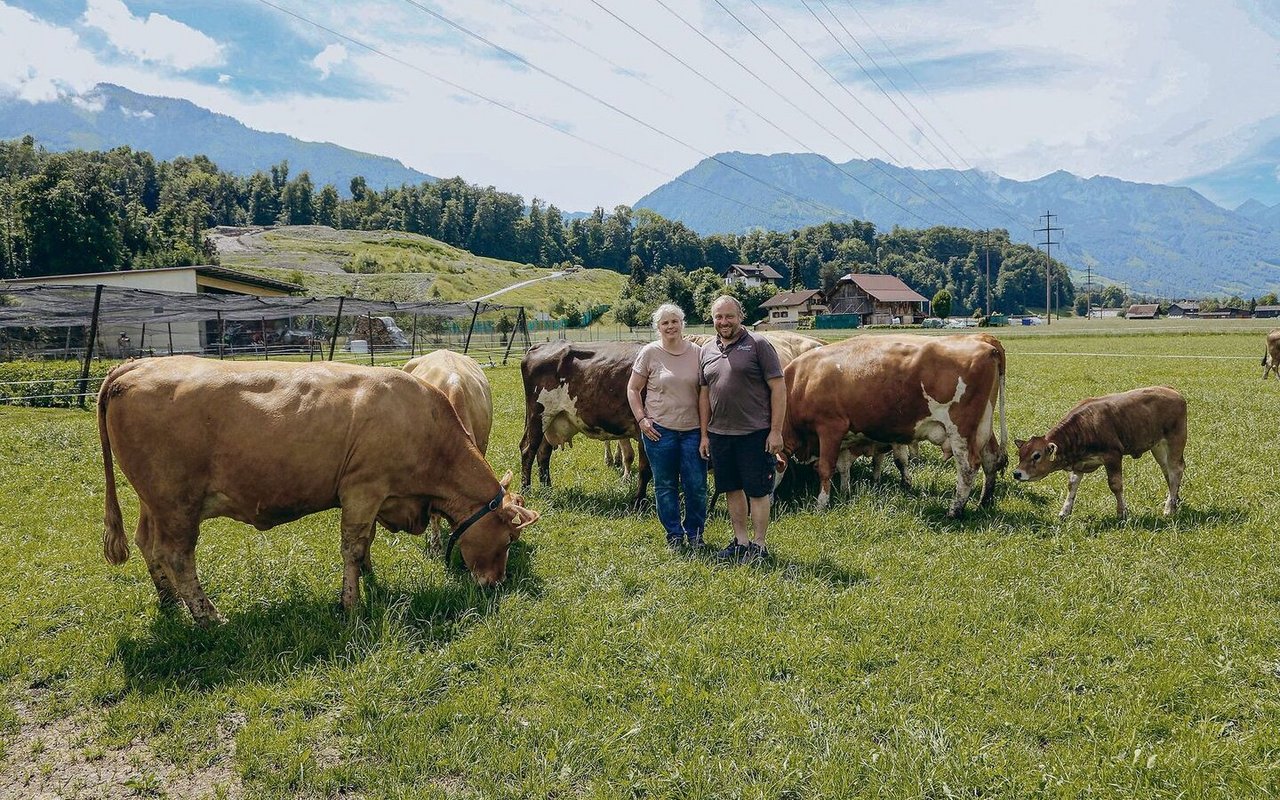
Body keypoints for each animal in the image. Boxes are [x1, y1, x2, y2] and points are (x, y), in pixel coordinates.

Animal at [98, 355, 535, 624]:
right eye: (508, 540)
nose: (495, 584)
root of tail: (134, 366)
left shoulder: (375, 496)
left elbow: (366, 541)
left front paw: (370, 577)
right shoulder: (362, 489)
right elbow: (353, 546)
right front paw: (351, 603)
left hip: (153, 501)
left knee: (147, 543)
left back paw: (170, 600)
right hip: (177, 504)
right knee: (177, 556)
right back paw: (209, 617)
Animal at [517, 340, 650, 501]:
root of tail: (540, 346)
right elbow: (645, 469)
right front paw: (639, 501)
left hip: (550, 420)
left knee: (543, 452)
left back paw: (547, 490)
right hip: (538, 415)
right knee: (528, 449)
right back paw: (526, 491)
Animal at [778, 332, 1008, 514]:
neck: (803, 380)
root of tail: (985, 341)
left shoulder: (830, 428)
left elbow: (826, 468)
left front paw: (821, 504)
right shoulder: (845, 438)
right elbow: (843, 467)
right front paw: (845, 492)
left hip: (960, 431)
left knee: (968, 467)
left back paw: (955, 510)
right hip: (983, 427)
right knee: (990, 459)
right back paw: (984, 502)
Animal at [1008, 386, 1187, 522]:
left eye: (1036, 456)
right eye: (1020, 454)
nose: (1017, 473)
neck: (1085, 426)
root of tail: (1173, 391)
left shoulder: (1113, 456)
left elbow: (1115, 485)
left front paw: (1122, 512)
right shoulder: (1079, 464)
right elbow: (1072, 485)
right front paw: (1065, 512)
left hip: (1175, 441)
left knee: (1176, 471)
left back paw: (1169, 508)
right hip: (1158, 447)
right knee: (1168, 472)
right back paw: (1174, 500)